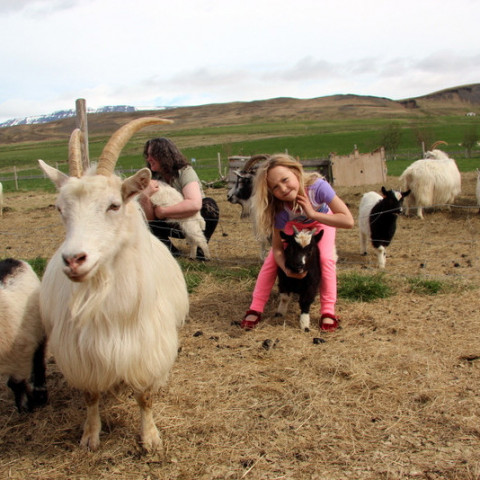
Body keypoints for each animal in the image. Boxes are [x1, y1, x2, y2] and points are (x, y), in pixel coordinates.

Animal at [0, 258, 47, 412]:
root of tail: (12, 260)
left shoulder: (20, 355)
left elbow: (15, 383)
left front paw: (26, 404)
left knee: (38, 360)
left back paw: (40, 392)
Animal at [37, 118, 189, 452]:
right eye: (59, 208)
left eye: (114, 205)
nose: (74, 259)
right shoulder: (81, 354)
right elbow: (91, 395)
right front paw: (90, 435)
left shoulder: (145, 347)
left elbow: (144, 396)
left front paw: (150, 438)